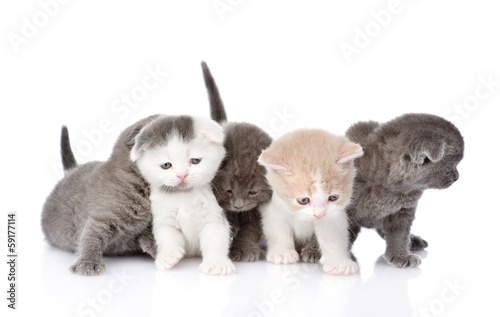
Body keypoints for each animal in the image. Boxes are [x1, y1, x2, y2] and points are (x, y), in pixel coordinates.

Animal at [131, 113, 236, 274]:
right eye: (166, 165)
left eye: (195, 160)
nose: (182, 175)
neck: (185, 195)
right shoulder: (165, 218)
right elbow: (167, 236)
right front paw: (168, 256)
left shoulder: (214, 216)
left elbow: (215, 240)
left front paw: (217, 263)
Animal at [200, 61, 274, 260]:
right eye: (228, 190)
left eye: (252, 192)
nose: (238, 205)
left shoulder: (257, 208)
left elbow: (250, 230)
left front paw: (244, 249)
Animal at [258, 128, 364, 274]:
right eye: (303, 200)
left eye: (333, 197)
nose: (319, 214)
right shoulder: (273, 208)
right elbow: (277, 230)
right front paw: (283, 253)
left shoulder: (333, 214)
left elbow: (333, 236)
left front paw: (339, 262)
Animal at [304, 113, 464, 266]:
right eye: (448, 168)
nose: (457, 177)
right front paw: (315, 251)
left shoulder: (403, 211)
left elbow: (399, 234)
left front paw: (401, 255)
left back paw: (412, 240)